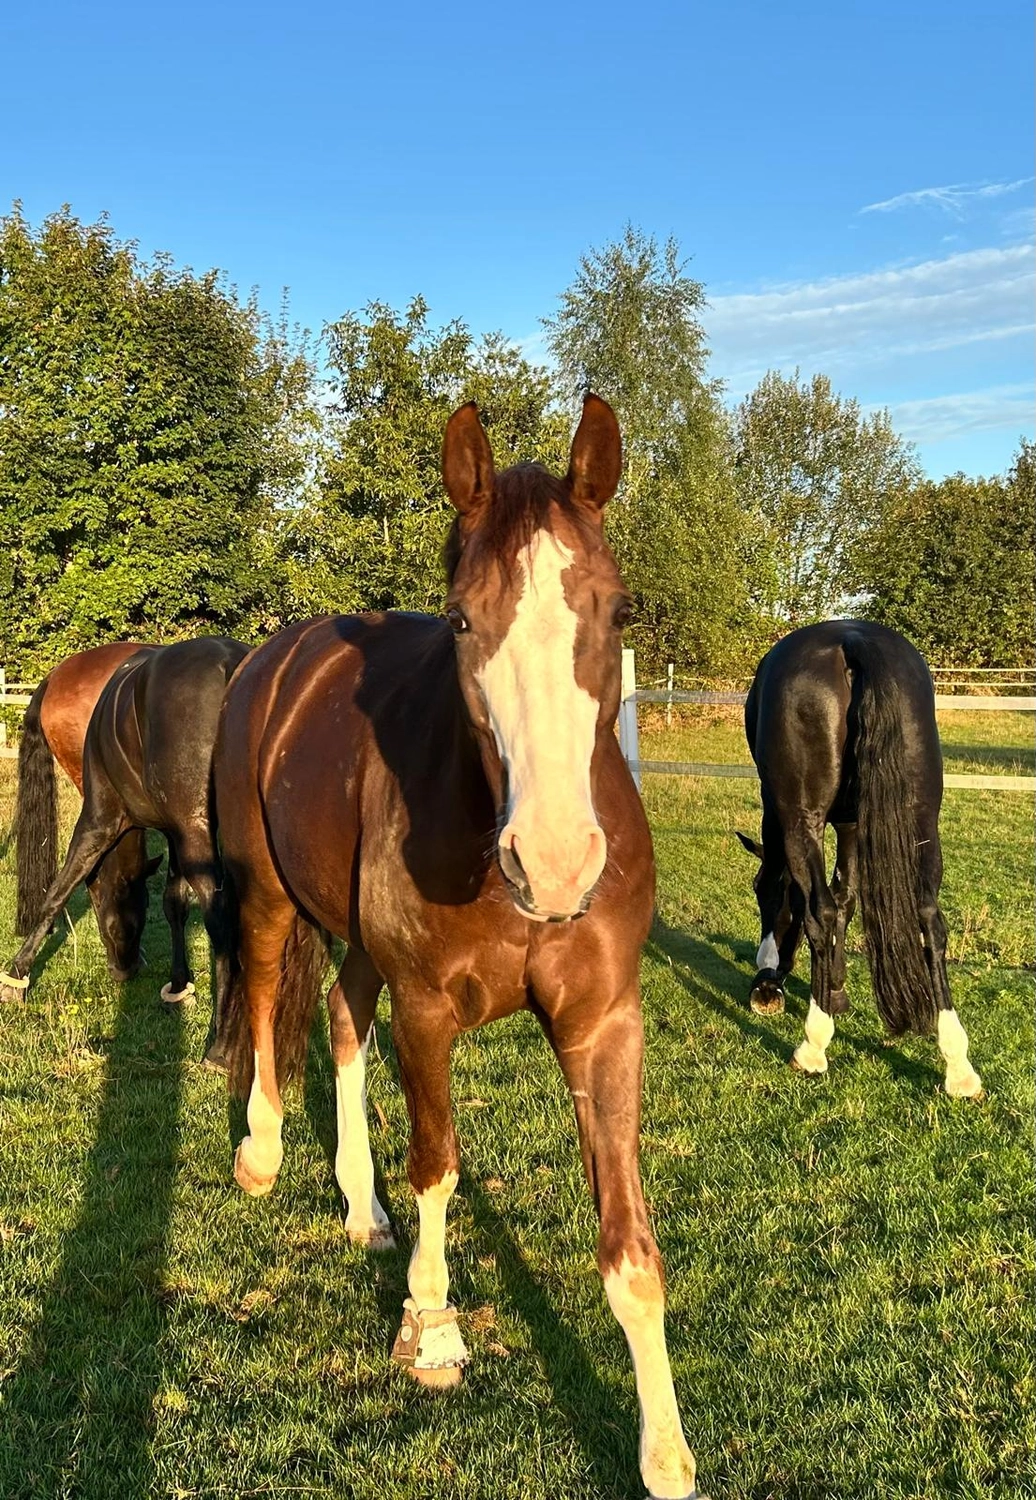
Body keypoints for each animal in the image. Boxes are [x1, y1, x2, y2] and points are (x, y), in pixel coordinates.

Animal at [213, 396, 701, 1500]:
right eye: (464, 620)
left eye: (617, 614)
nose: (555, 862)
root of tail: (282, 656)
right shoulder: (429, 1011)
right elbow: (437, 1163)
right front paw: (430, 1328)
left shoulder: (605, 1025)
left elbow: (629, 1246)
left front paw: (665, 1453)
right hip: (267, 894)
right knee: (262, 995)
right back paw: (261, 1152)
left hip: (355, 942)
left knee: (341, 1020)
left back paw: (360, 1207)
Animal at [736, 619, 983, 1099]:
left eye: (756, 893)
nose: (768, 974)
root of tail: (853, 641)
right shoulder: (852, 823)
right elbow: (847, 895)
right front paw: (835, 990)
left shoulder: (784, 815)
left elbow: (809, 898)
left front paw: (773, 984)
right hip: (921, 820)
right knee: (930, 921)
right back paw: (958, 1066)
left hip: (803, 818)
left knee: (820, 911)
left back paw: (812, 1048)